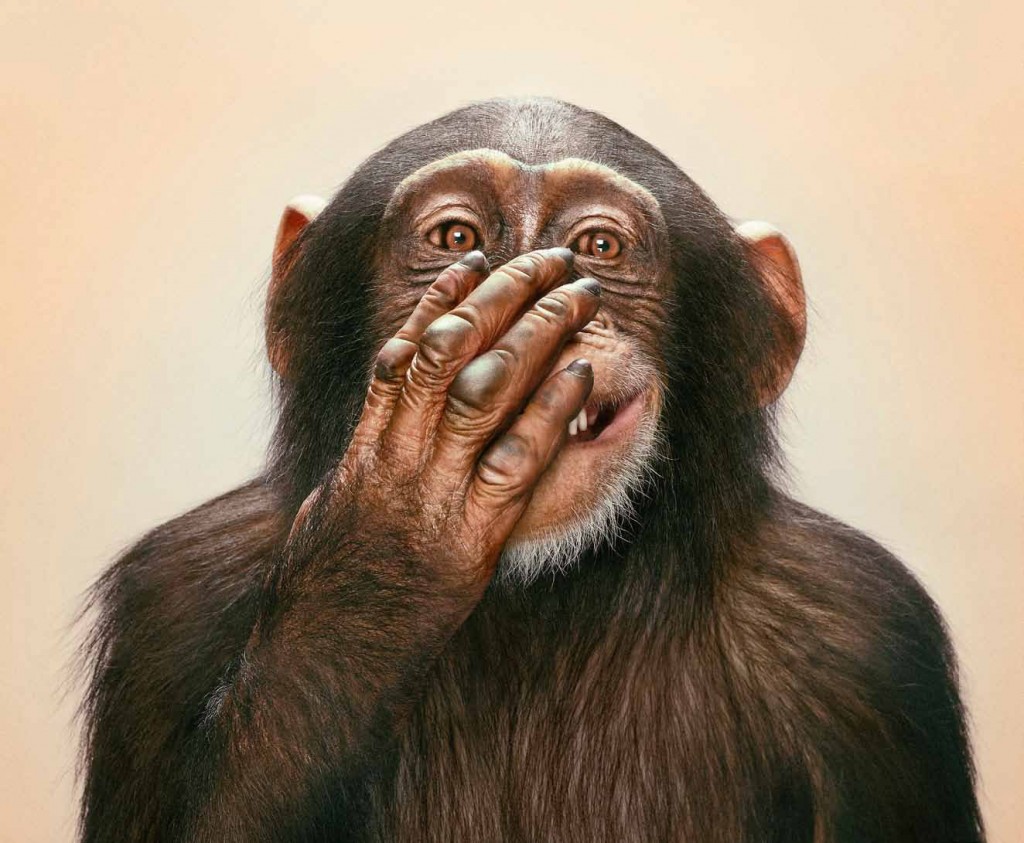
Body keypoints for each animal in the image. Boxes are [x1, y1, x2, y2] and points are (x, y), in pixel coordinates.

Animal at [77, 97, 983, 842]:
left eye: (597, 245)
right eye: (457, 238)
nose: (543, 293)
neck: (543, 596)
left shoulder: (864, 636)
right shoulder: (171, 598)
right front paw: (387, 556)